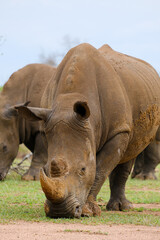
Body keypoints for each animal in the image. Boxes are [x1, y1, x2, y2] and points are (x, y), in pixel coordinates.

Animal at [15, 43, 160, 218]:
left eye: (83, 170)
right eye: (47, 169)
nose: (60, 212)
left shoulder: (118, 131)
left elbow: (99, 170)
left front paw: (87, 210)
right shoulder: (46, 127)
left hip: (128, 121)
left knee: (130, 149)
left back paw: (122, 208)